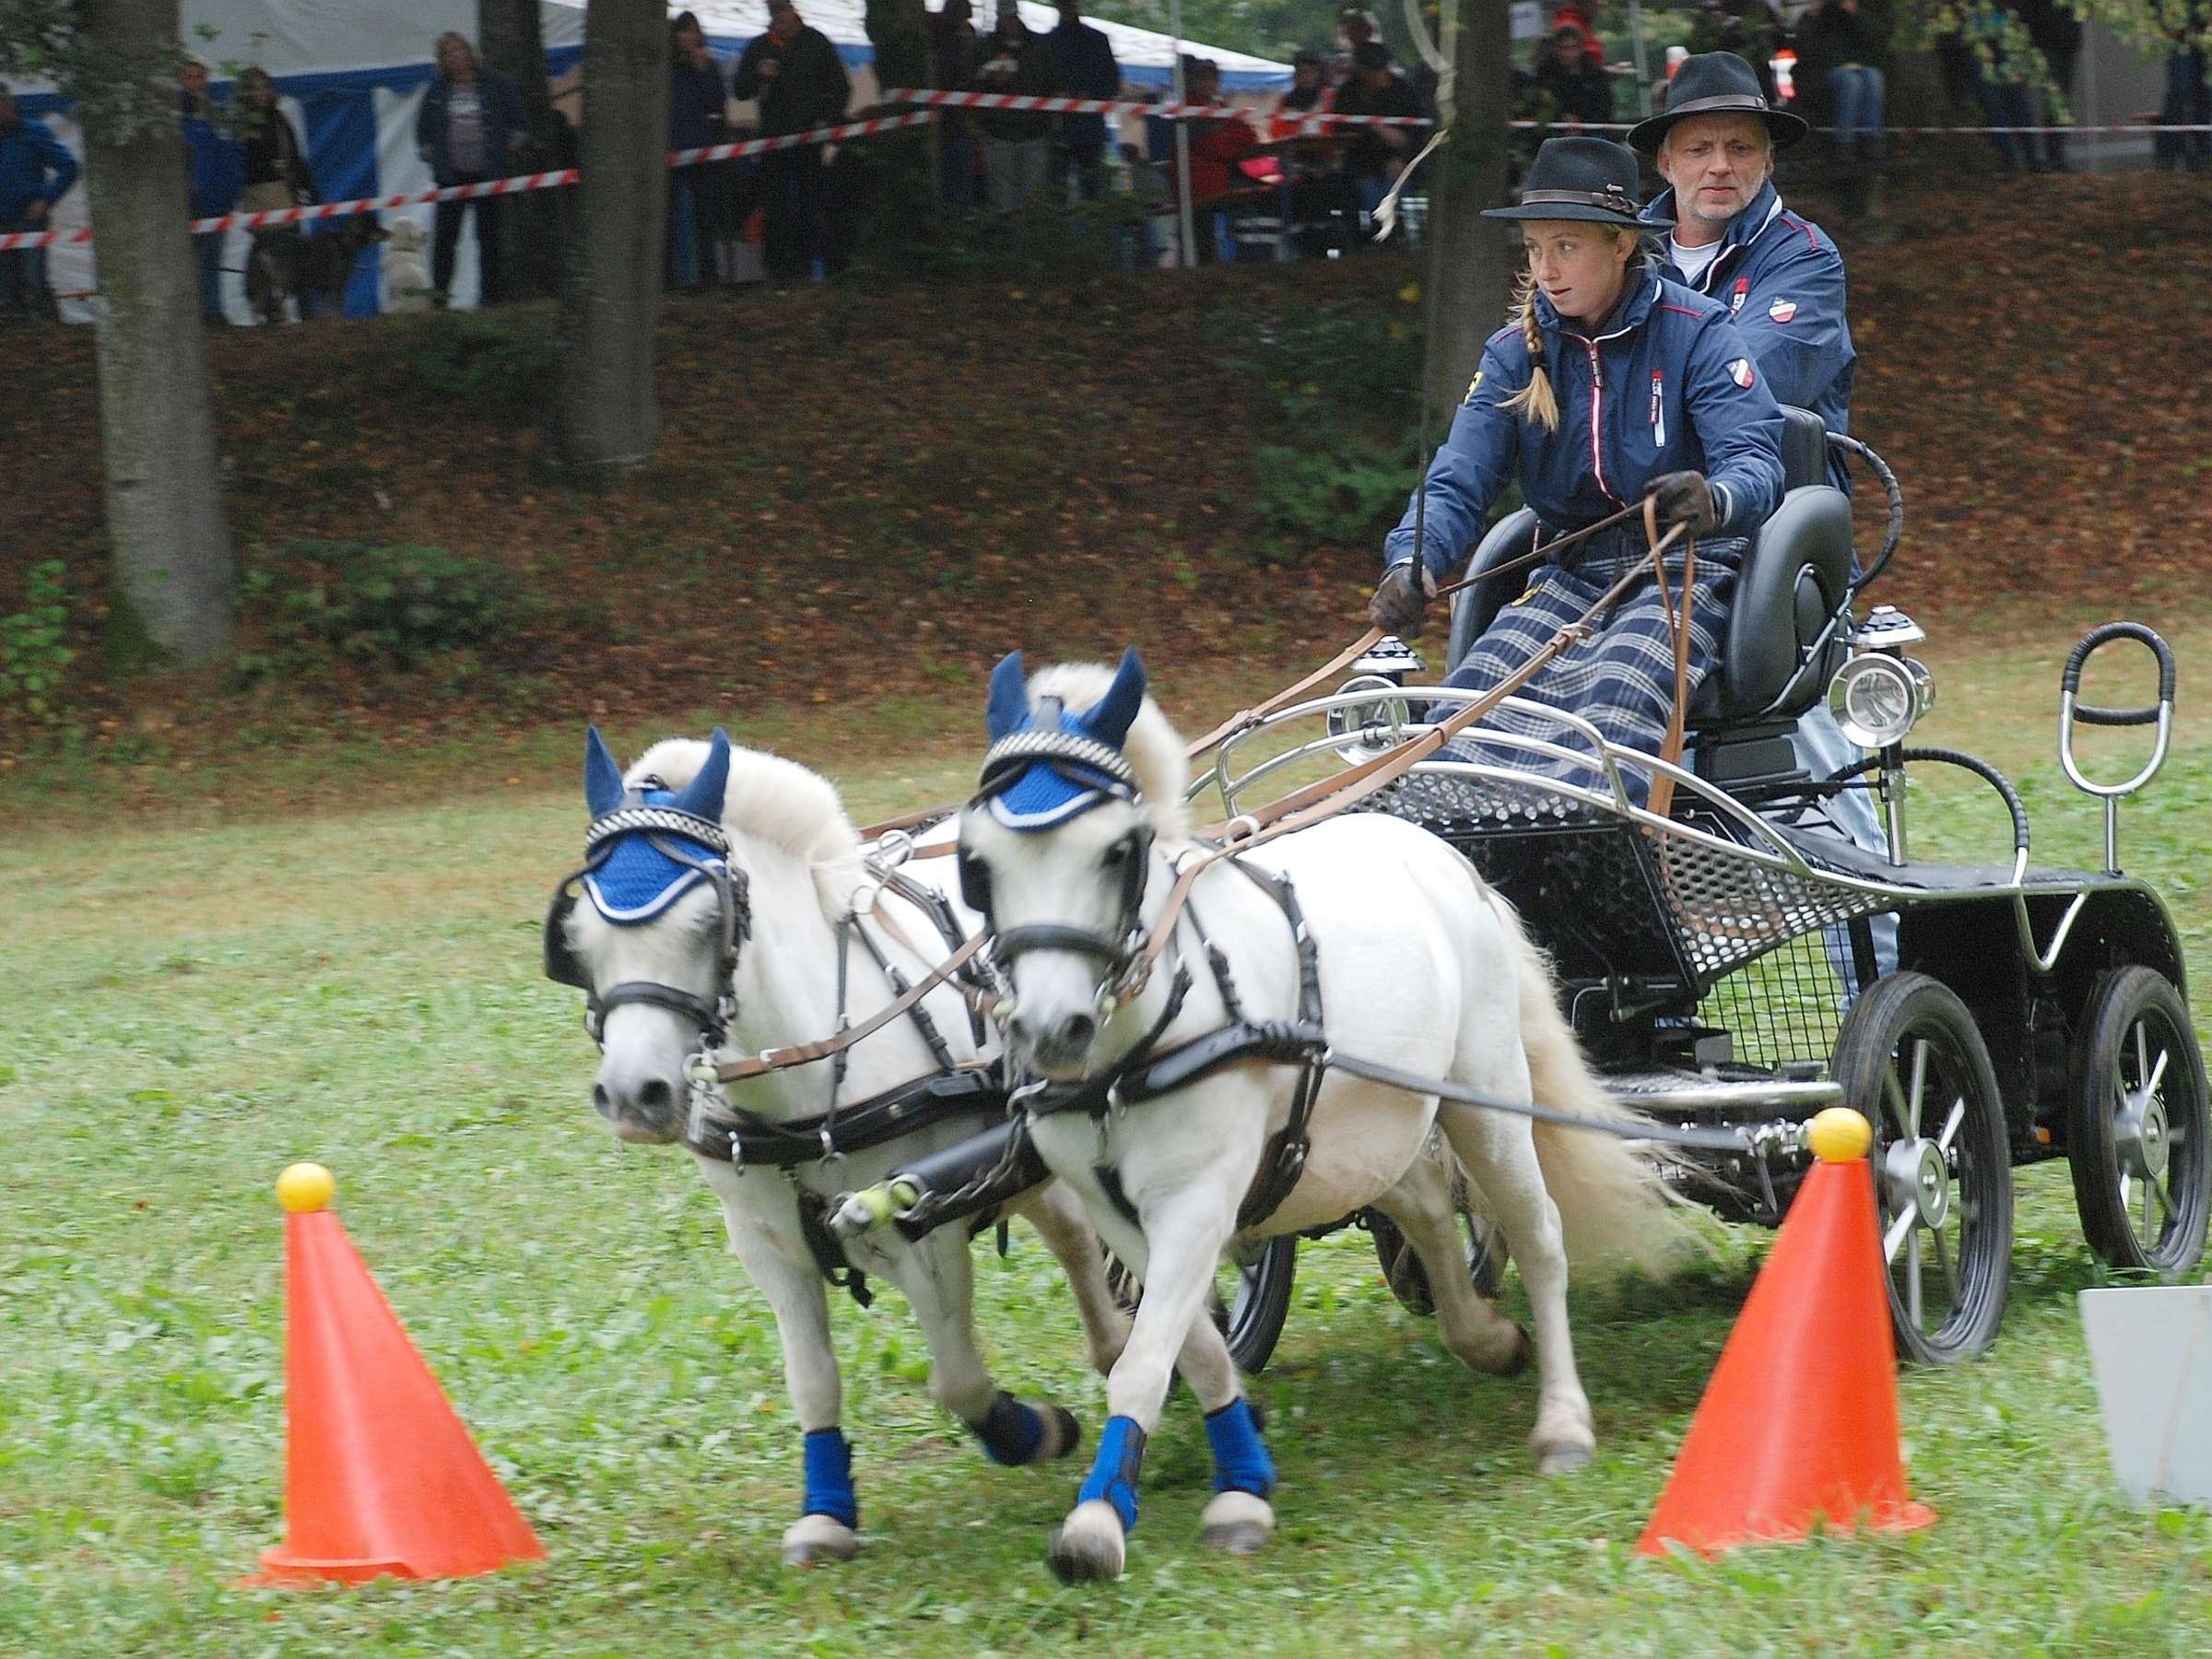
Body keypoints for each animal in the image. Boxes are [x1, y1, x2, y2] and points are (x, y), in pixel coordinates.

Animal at [247, 214, 394, 324]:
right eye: (373, 227)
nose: (389, 233)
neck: (346, 241)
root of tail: (264, 244)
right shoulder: (338, 283)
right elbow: (338, 306)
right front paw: (342, 321)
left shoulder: (326, 288)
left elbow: (326, 307)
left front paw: (327, 320)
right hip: (286, 280)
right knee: (278, 302)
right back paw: (287, 322)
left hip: (264, 282)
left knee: (259, 305)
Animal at [550, 725, 1132, 1574]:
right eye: (577, 937)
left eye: (706, 925)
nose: (634, 1095)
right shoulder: (767, 1246)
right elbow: (812, 1380)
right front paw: (826, 1513)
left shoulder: (925, 1228)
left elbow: (957, 1379)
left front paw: (1030, 1431)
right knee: (1071, 1228)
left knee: (1081, 1238)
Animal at [955, 650, 1672, 1583]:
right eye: (977, 863)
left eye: (1117, 851)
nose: (1050, 1029)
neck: (1136, 1047)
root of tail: (1447, 859)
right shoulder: (1120, 1211)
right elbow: (1194, 1343)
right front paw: (1241, 1484)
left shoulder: (1199, 1198)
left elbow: (1146, 1357)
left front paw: (1097, 1525)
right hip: (1362, 1130)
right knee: (1429, 1210)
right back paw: (1482, 1337)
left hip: (1483, 1094)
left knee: (1537, 1231)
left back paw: (1562, 1421)